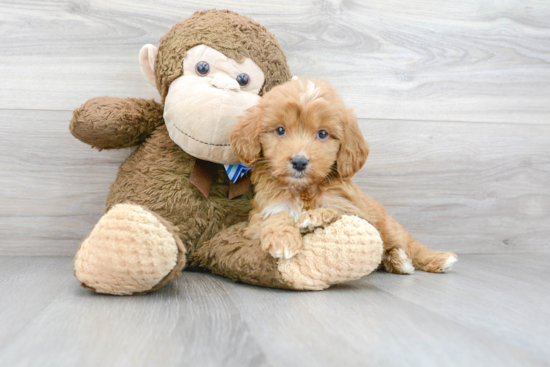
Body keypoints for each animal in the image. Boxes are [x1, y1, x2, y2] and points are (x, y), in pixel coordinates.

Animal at [231, 76, 460, 274]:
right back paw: (397, 260)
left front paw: (315, 217)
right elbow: (275, 217)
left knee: (410, 245)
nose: (299, 162)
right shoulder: (261, 215)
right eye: (280, 130)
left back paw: (429, 259)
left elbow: (339, 210)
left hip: (389, 228)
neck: (304, 190)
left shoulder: (358, 213)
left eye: (322, 134)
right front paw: (283, 238)